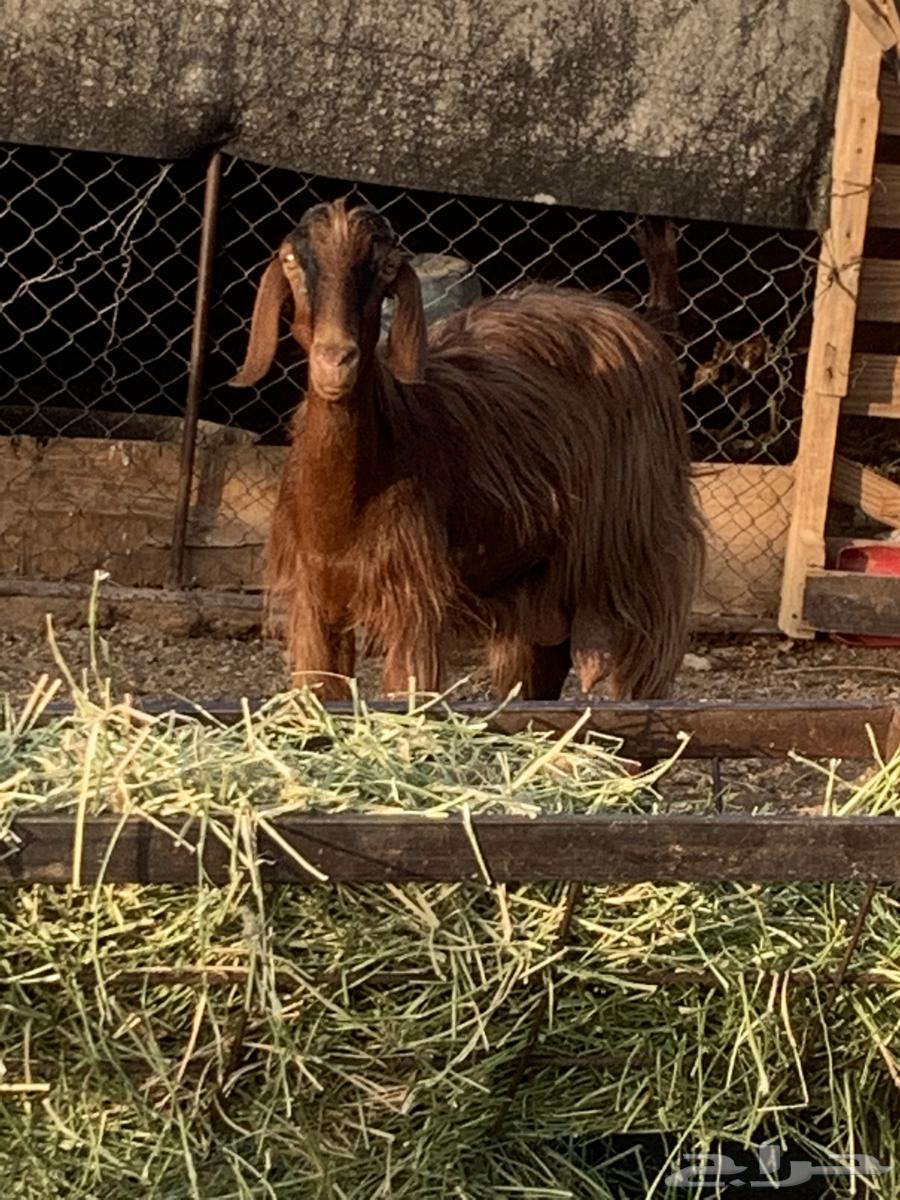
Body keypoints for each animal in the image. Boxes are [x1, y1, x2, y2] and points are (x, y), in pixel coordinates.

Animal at [230, 199, 705, 701]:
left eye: (387, 267)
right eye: (291, 261)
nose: (336, 358)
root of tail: (646, 324)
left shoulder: (413, 604)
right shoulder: (316, 604)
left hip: (642, 553)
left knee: (643, 673)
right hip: (532, 576)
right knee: (542, 664)